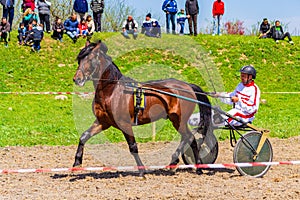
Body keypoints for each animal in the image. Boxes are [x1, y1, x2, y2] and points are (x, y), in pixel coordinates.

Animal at [73, 41, 211, 176]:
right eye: (79, 59)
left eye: (90, 59)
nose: (77, 79)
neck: (112, 91)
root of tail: (188, 86)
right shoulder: (103, 122)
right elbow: (84, 136)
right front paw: (76, 162)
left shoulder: (124, 124)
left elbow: (133, 147)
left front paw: (141, 170)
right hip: (177, 121)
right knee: (186, 138)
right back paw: (174, 162)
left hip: (178, 120)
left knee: (191, 138)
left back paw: (198, 168)